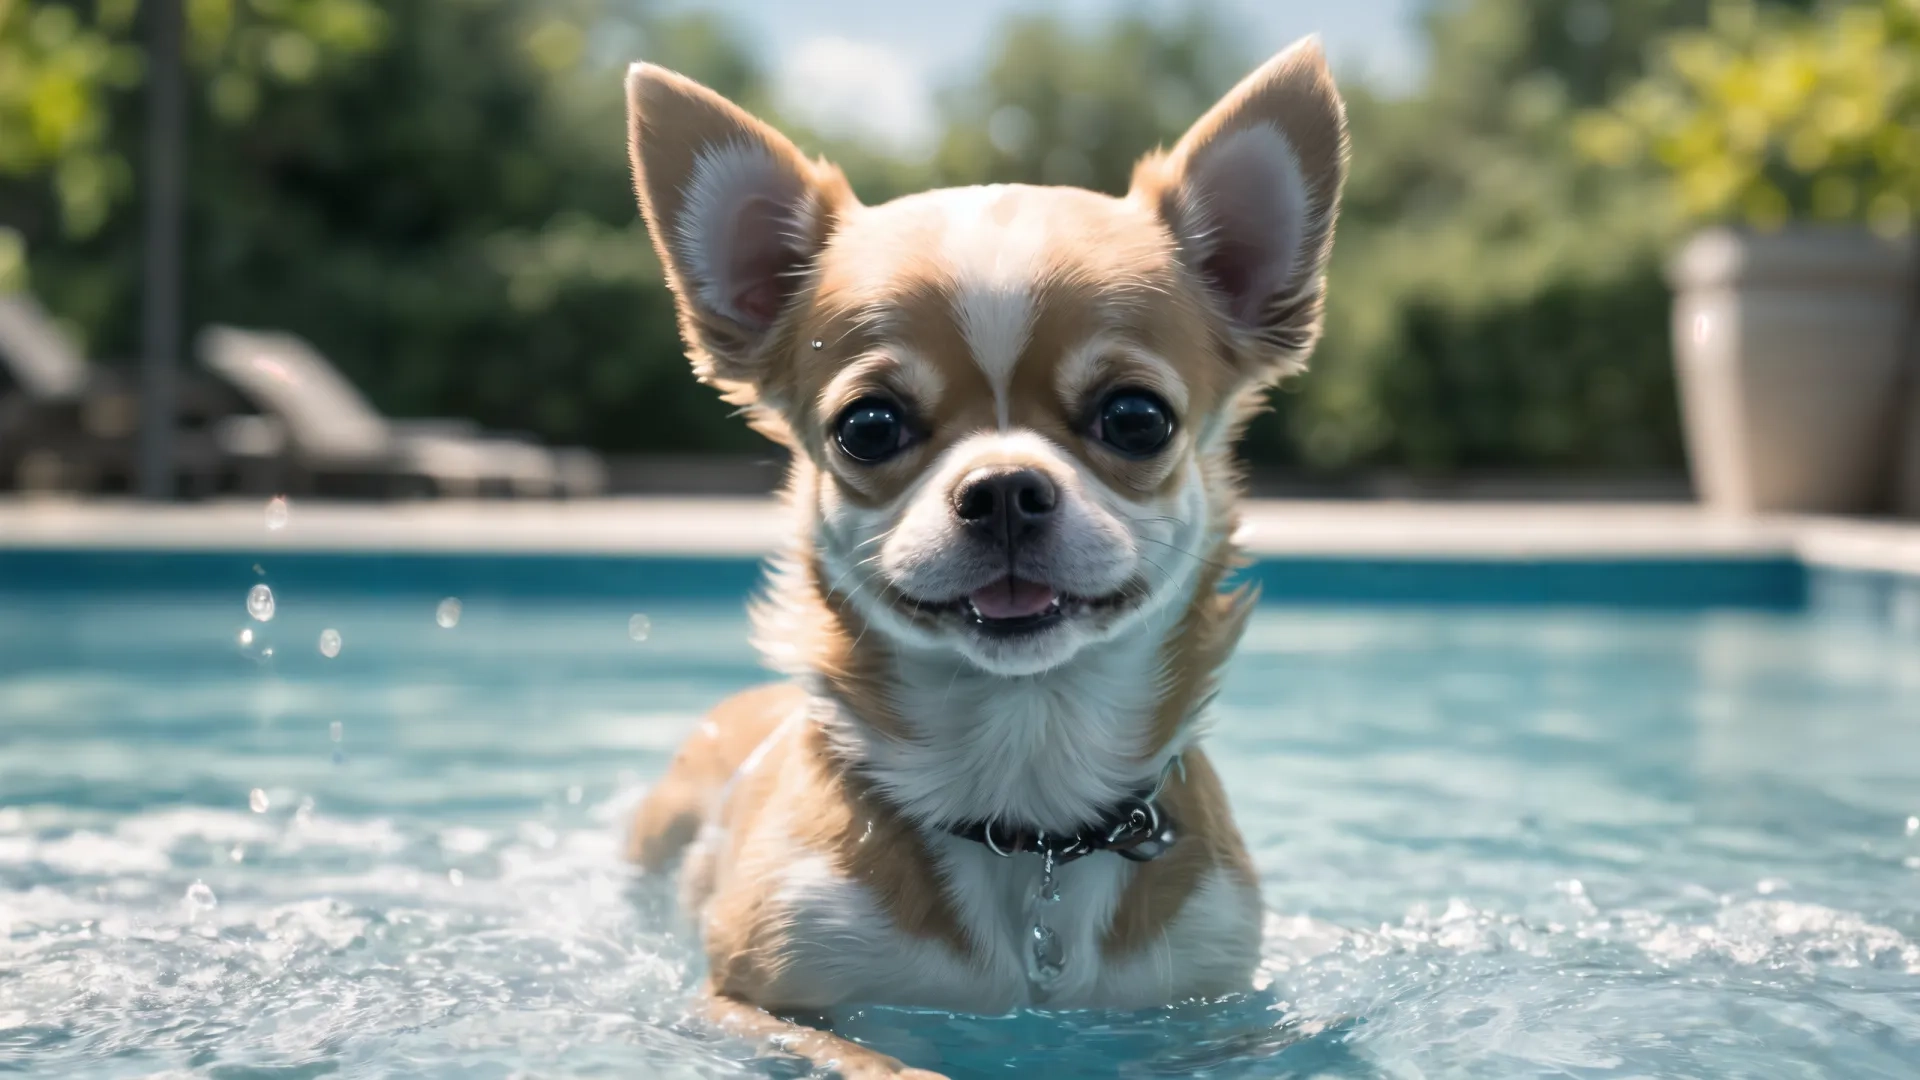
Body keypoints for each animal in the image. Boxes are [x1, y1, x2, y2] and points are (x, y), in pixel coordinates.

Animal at [622, 35, 1344, 1076]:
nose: (1004, 487)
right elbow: (873, 1059)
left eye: (1137, 418)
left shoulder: (1211, 1001)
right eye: (868, 427)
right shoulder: (742, 1002)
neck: (1027, 823)